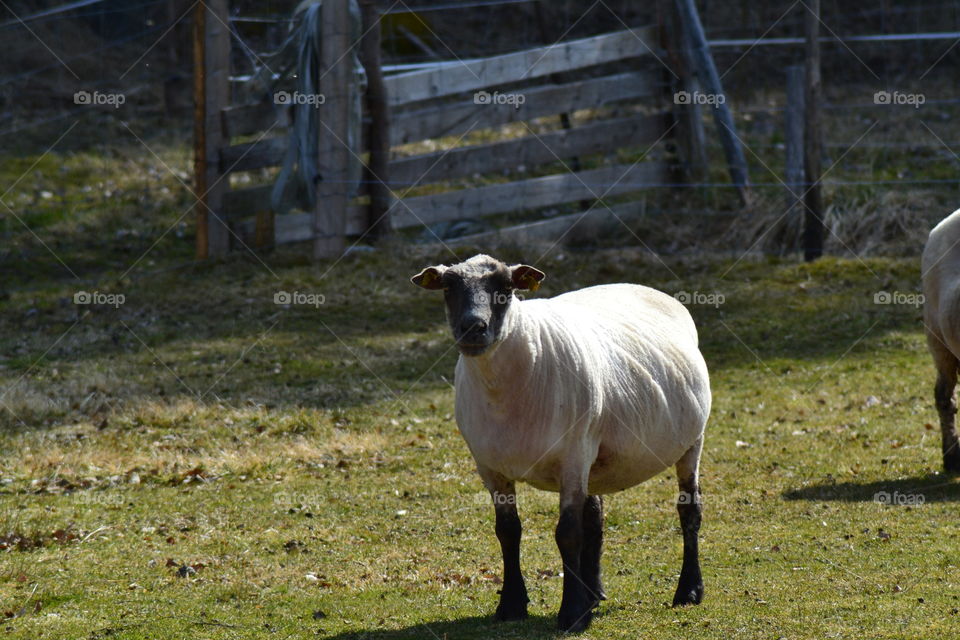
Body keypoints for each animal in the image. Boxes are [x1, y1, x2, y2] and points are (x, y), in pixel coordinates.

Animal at [411, 254, 711, 632]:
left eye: (506, 287)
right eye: (448, 288)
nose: (473, 328)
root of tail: (644, 288)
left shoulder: (572, 456)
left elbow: (568, 533)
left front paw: (571, 614)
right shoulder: (490, 468)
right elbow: (508, 531)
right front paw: (512, 605)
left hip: (689, 441)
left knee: (689, 510)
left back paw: (688, 590)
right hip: (592, 458)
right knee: (595, 516)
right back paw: (594, 592)